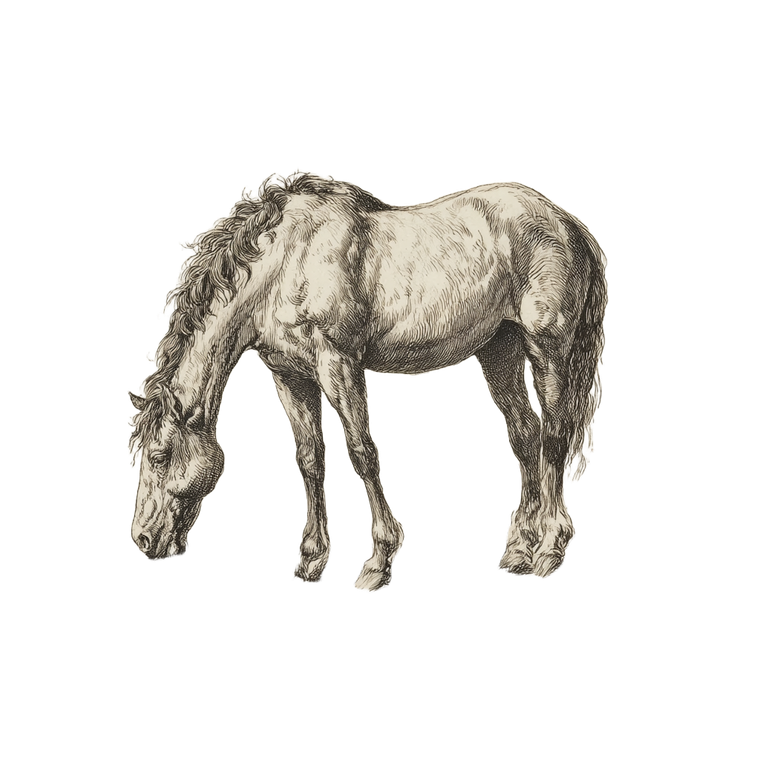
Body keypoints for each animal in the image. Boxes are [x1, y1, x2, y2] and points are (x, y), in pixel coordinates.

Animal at [126, 170, 608, 592]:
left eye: (160, 455)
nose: (144, 540)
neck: (286, 261)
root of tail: (569, 223)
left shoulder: (338, 363)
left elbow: (360, 452)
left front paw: (378, 562)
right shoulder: (290, 374)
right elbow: (310, 459)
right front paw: (312, 560)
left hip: (548, 351)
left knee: (554, 438)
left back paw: (548, 552)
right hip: (499, 350)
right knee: (527, 436)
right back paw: (517, 554)